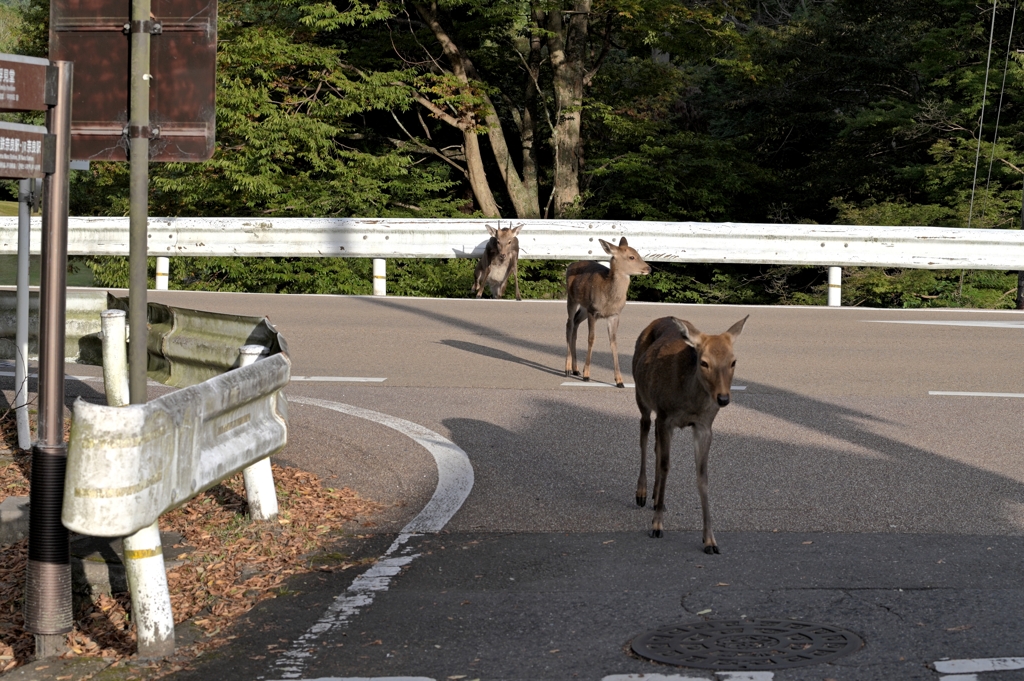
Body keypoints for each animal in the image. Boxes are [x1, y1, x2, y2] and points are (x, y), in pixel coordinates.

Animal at [565, 237, 651, 387]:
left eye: (638, 253)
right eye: (632, 257)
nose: (648, 268)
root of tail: (570, 265)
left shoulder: (614, 315)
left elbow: (614, 342)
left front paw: (619, 380)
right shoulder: (593, 311)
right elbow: (591, 338)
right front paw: (587, 375)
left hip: (584, 307)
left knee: (575, 322)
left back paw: (576, 369)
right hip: (572, 298)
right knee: (569, 325)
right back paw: (567, 369)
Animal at [626, 313, 749, 552]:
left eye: (733, 361)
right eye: (704, 362)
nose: (723, 398)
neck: (688, 401)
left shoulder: (704, 426)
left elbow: (702, 476)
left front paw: (710, 539)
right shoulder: (665, 416)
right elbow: (666, 466)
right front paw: (657, 526)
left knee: (655, 445)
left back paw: (656, 498)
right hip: (641, 395)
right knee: (644, 435)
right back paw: (642, 493)